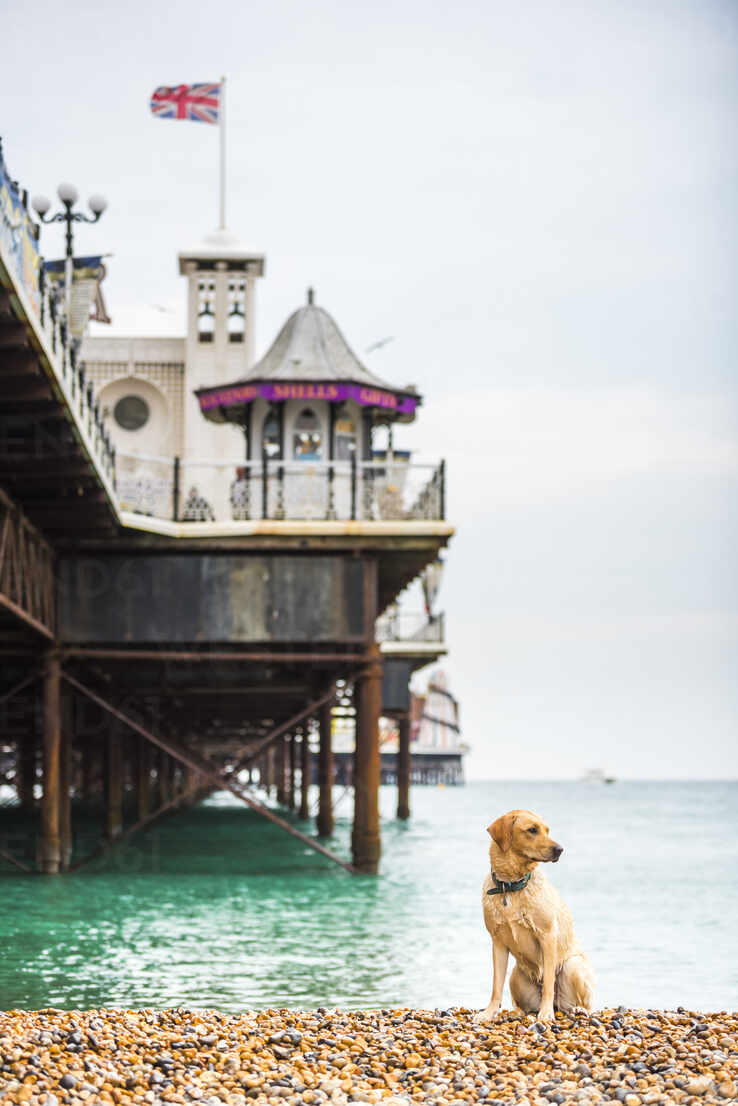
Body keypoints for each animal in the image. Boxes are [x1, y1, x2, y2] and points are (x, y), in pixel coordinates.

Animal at [475, 809, 597, 1021]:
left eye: (547, 831)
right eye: (532, 830)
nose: (560, 849)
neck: (511, 886)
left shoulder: (547, 935)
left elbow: (548, 982)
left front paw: (546, 1013)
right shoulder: (497, 942)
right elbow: (496, 985)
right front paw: (489, 1013)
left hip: (573, 966)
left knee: (585, 1004)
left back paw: (577, 1010)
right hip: (516, 976)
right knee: (522, 1004)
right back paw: (517, 1012)